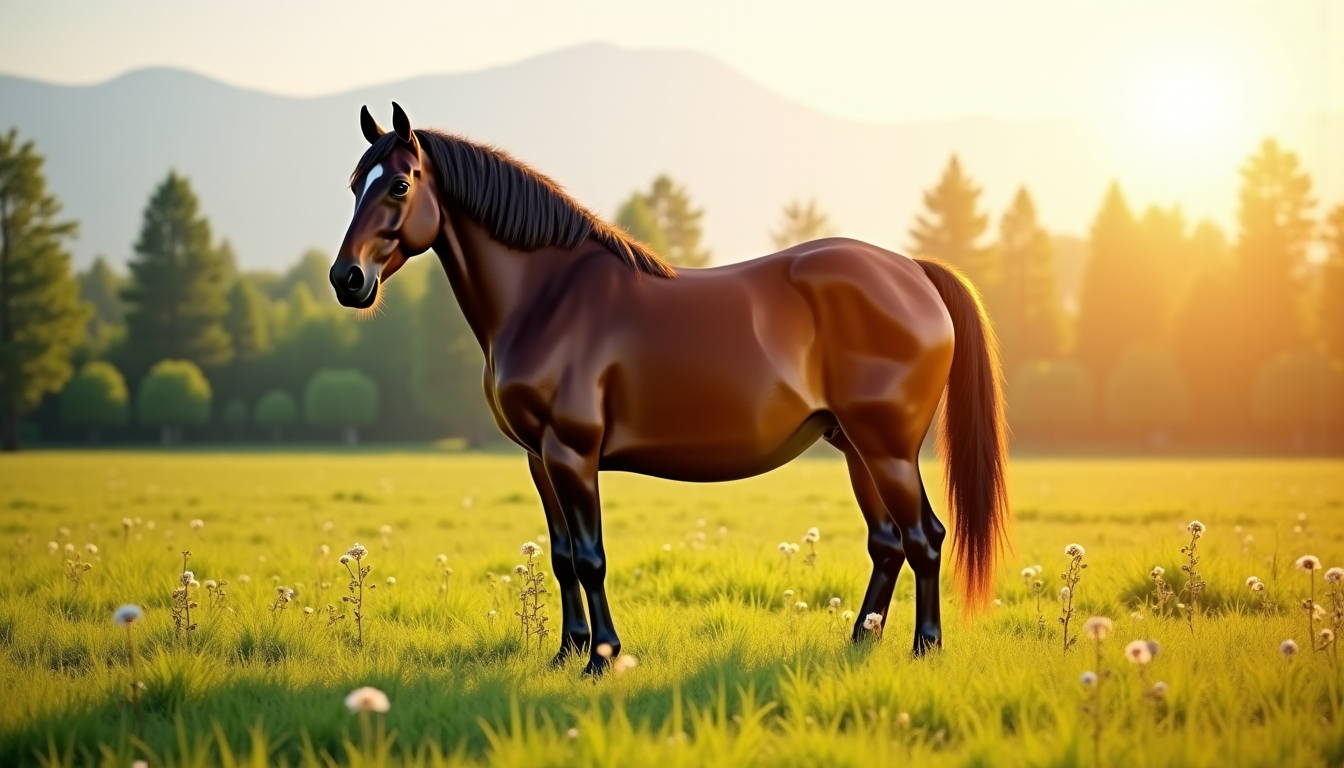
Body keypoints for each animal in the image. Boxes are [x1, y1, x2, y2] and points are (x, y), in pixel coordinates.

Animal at [331, 103, 1009, 673]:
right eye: (355, 183)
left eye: (399, 184)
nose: (347, 278)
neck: (547, 299)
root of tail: (913, 271)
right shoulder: (538, 458)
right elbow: (560, 556)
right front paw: (566, 652)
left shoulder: (572, 452)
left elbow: (590, 556)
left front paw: (601, 658)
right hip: (856, 448)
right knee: (888, 543)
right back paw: (859, 642)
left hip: (888, 448)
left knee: (925, 538)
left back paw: (925, 649)